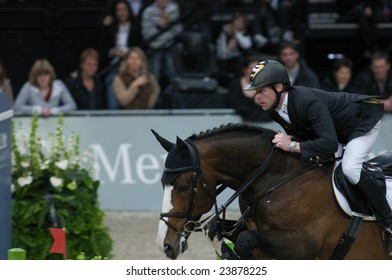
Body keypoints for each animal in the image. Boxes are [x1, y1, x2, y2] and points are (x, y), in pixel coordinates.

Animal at [152, 123, 392, 260]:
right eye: (162, 184)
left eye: (183, 187)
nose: (165, 246)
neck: (276, 178)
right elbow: (216, 231)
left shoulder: (305, 244)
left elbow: (245, 241)